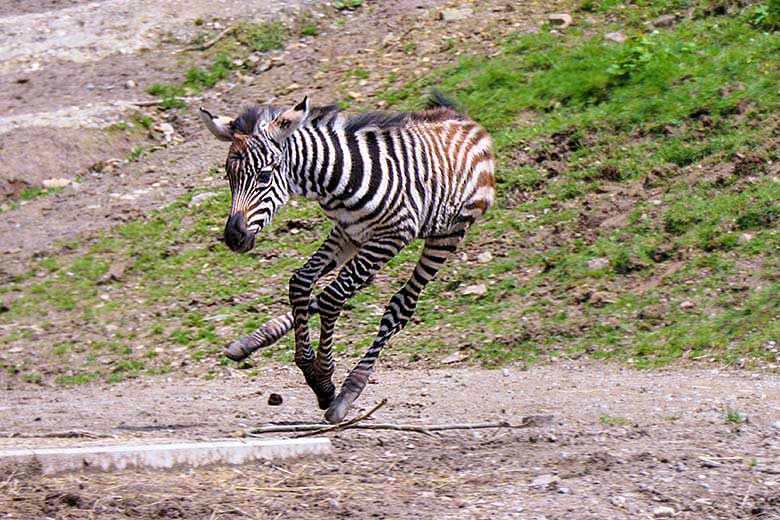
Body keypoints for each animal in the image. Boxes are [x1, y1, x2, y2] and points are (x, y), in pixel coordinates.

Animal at [200, 93, 494, 422]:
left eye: (264, 176)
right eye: (229, 176)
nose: (233, 237)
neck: (337, 179)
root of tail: (466, 120)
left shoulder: (392, 236)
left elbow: (332, 298)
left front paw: (324, 382)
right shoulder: (347, 230)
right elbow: (301, 284)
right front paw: (310, 369)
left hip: (443, 236)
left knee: (400, 305)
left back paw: (350, 390)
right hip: (356, 240)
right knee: (315, 285)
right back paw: (251, 342)